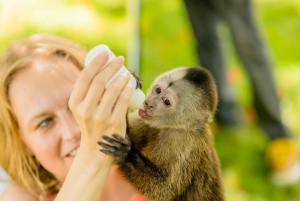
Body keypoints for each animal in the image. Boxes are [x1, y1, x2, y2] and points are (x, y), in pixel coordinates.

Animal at [99, 66, 225, 200]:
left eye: (166, 102)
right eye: (158, 90)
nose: (148, 103)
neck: (172, 126)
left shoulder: (182, 142)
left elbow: (161, 190)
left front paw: (125, 153)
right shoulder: (144, 120)